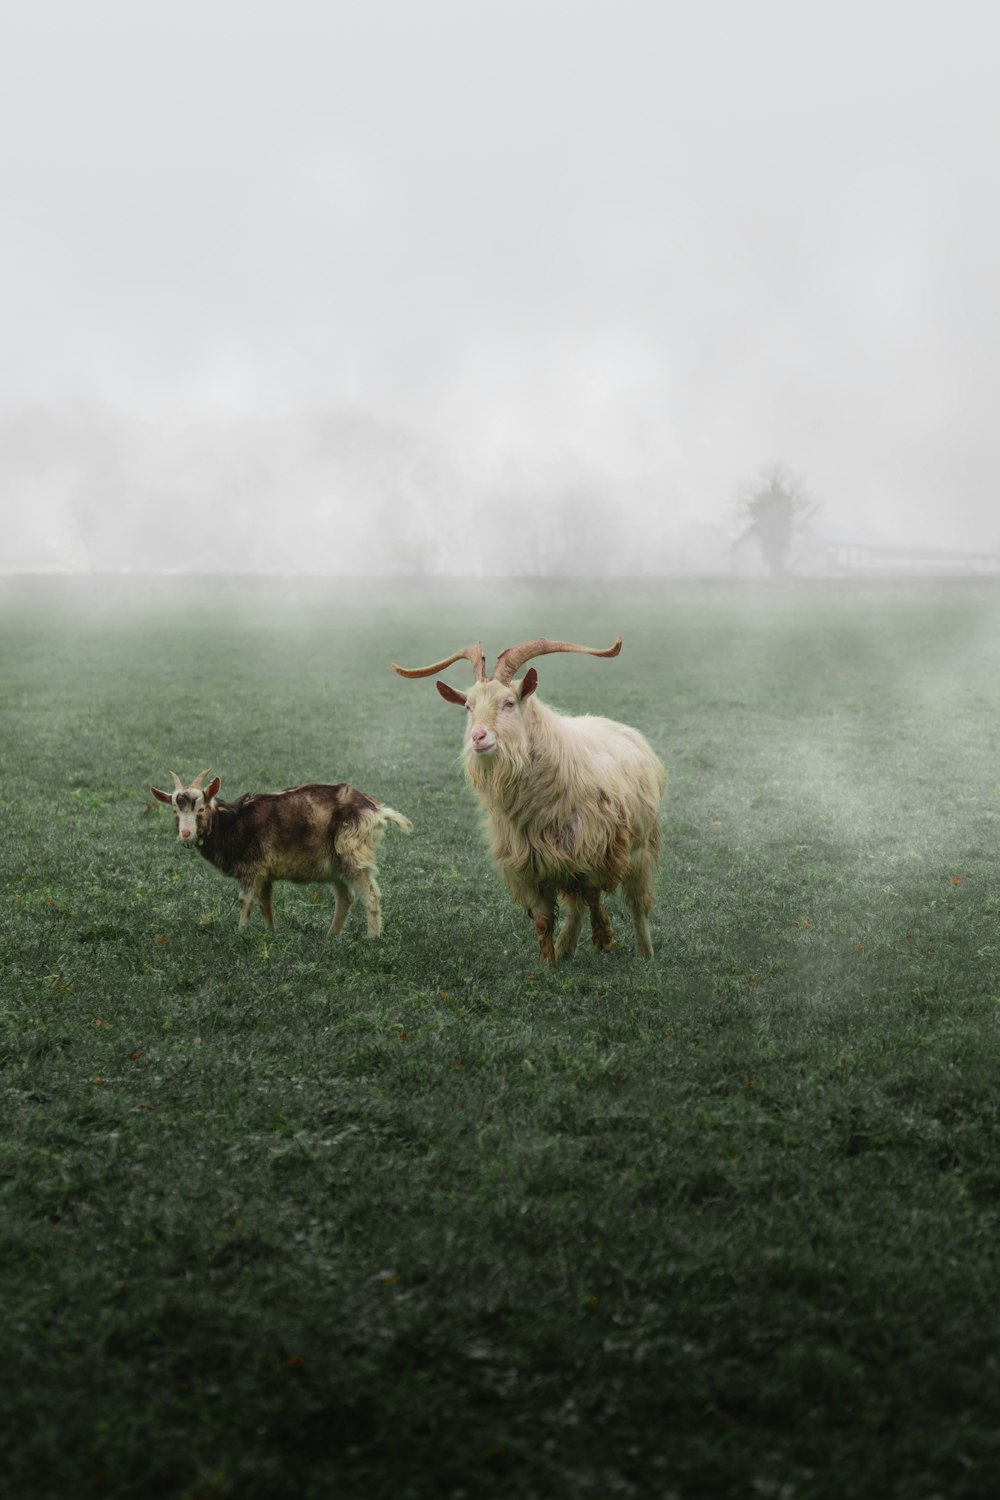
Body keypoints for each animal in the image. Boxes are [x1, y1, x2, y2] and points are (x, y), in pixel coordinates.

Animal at [149, 768, 413, 930]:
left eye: (200, 809)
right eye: (175, 811)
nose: (185, 834)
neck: (231, 822)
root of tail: (377, 810)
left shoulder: (253, 867)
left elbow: (245, 901)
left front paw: (240, 933)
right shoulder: (265, 873)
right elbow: (265, 903)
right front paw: (271, 933)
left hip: (353, 854)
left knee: (370, 895)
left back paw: (372, 938)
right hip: (337, 864)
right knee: (344, 898)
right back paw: (332, 937)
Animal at [389, 633, 665, 960]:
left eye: (509, 703)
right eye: (468, 706)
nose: (478, 737)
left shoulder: (595, 845)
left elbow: (592, 893)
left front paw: (604, 936)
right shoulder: (529, 863)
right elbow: (545, 919)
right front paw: (548, 962)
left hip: (641, 847)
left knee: (636, 903)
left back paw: (644, 954)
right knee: (576, 906)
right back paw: (566, 948)